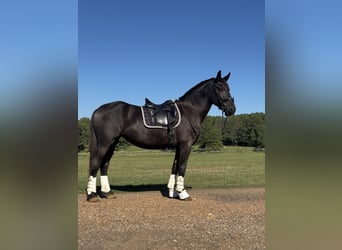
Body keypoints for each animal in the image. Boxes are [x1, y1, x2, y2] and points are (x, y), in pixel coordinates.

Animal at [86, 70, 235, 201]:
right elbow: (182, 167)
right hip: (105, 143)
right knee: (95, 163)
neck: (189, 111)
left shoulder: (178, 146)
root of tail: (98, 110)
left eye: (228, 87)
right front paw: (183, 193)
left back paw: (107, 193)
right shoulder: (185, 145)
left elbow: (175, 167)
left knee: (104, 165)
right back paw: (92, 195)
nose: (232, 109)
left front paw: (173, 192)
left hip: (113, 142)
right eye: (219, 87)